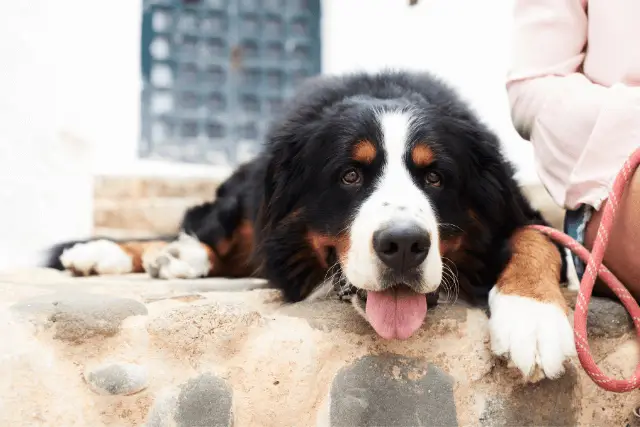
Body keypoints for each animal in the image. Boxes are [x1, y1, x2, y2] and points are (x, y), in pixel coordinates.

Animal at [45, 72, 576, 382]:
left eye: (435, 177)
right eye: (350, 176)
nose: (403, 244)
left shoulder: (522, 214)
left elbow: (539, 240)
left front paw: (533, 318)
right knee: (209, 228)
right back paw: (135, 254)